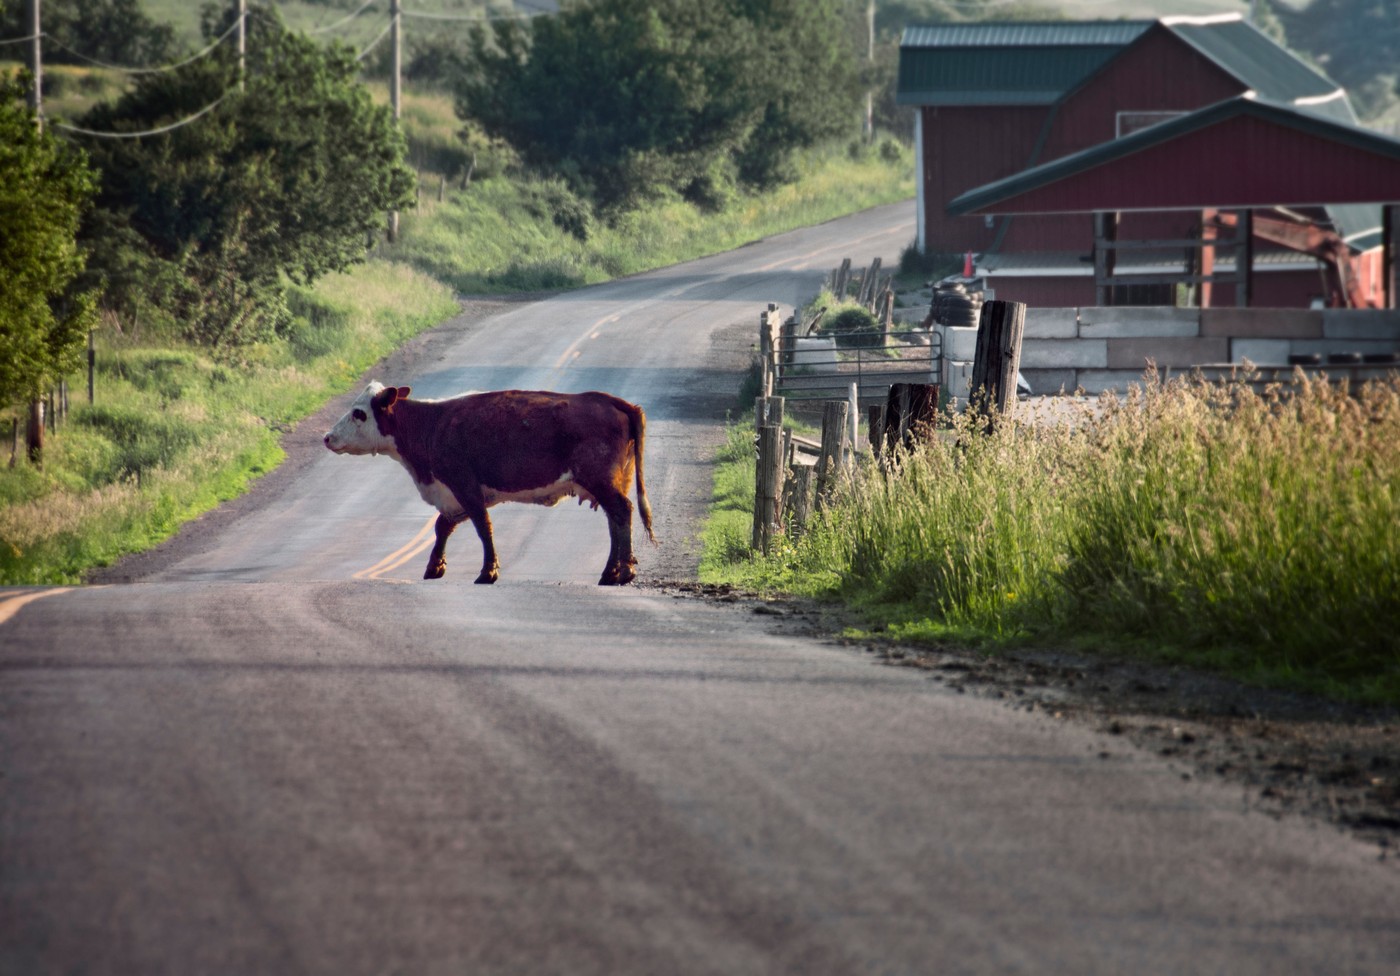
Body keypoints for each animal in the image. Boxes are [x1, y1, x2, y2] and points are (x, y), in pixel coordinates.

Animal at [324, 382, 654, 585]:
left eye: (359, 413)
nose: (327, 437)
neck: (432, 425)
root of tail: (609, 399)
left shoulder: (464, 484)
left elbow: (483, 527)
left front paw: (488, 571)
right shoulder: (457, 493)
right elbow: (443, 526)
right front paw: (434, 567)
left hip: (600, 479)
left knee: (622, 512)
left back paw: (623, 572)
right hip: (613, 480)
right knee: (616, 520)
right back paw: (612, 572)